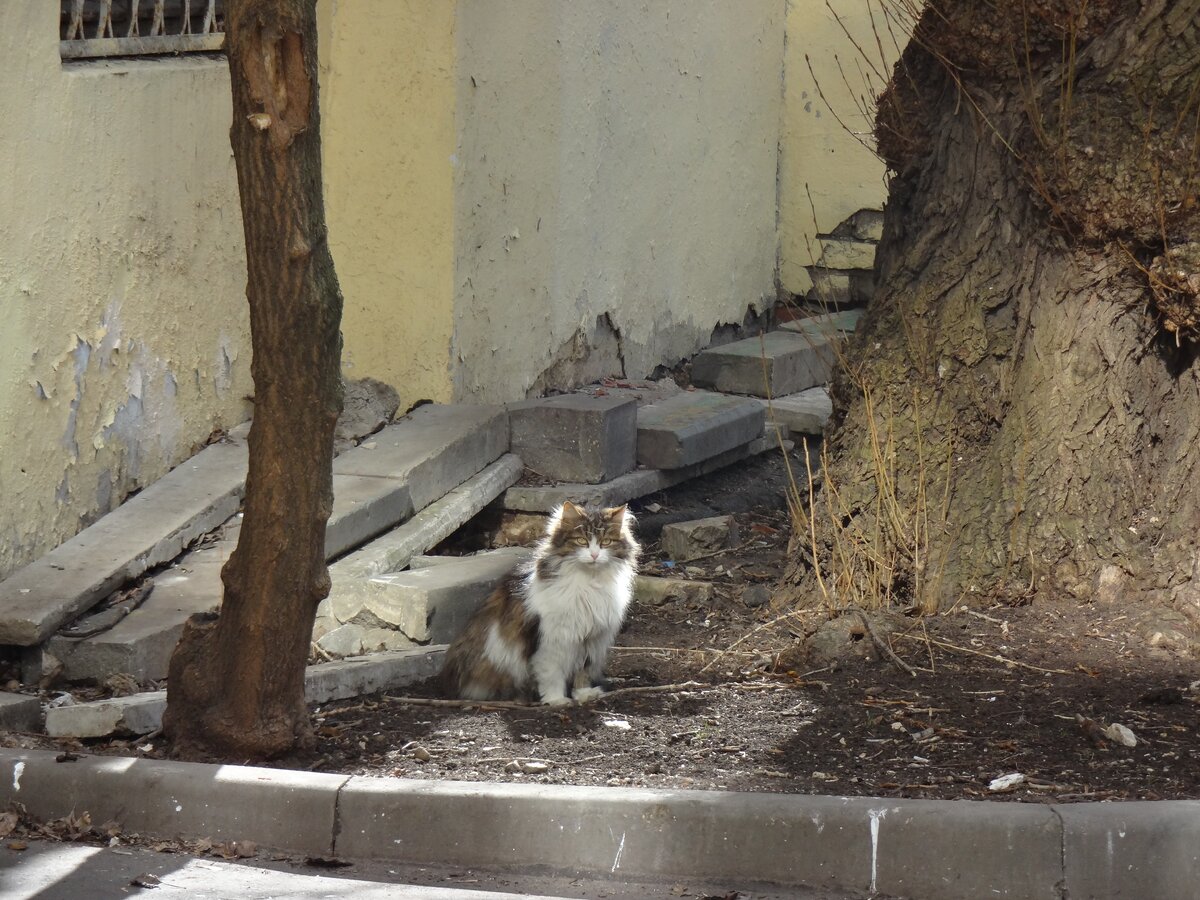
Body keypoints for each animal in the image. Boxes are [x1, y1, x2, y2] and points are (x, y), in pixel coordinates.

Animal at [441, 501, 643, 705]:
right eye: (581, 541)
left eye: (606, 542)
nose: (594, 555)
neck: (590, 581)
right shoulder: (553, 638)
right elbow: (551, 673)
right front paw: (556, 700)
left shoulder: (591, 639)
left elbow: (582, 672)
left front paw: (584, 694)